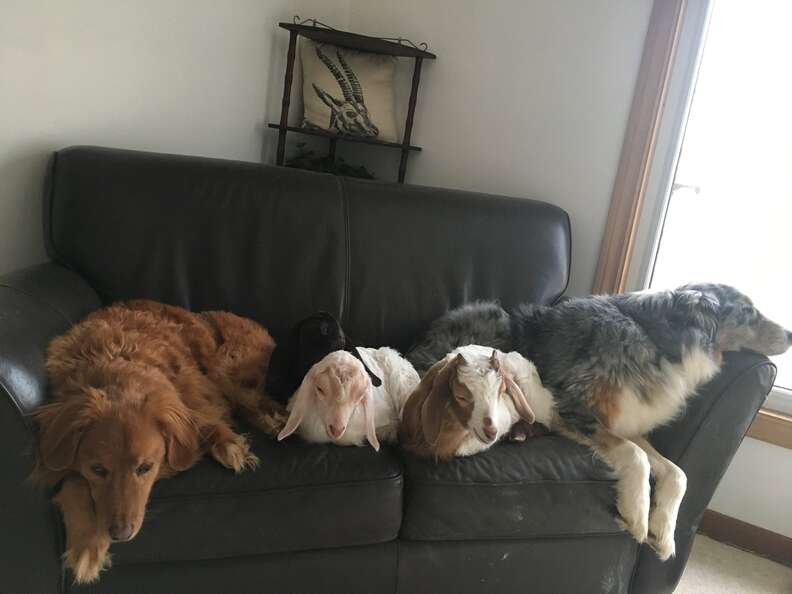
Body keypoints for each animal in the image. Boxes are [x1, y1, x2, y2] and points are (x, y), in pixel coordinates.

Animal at [32, 298, 284, 580]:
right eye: (97, 469)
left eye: (146, 467)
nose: (120, 534)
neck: (116, 361)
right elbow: (74, 481)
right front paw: (86, 543)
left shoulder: (193, 389)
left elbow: (204, 416)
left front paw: (227, 443)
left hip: (224, 364)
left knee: (251, 399)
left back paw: (272, 421)